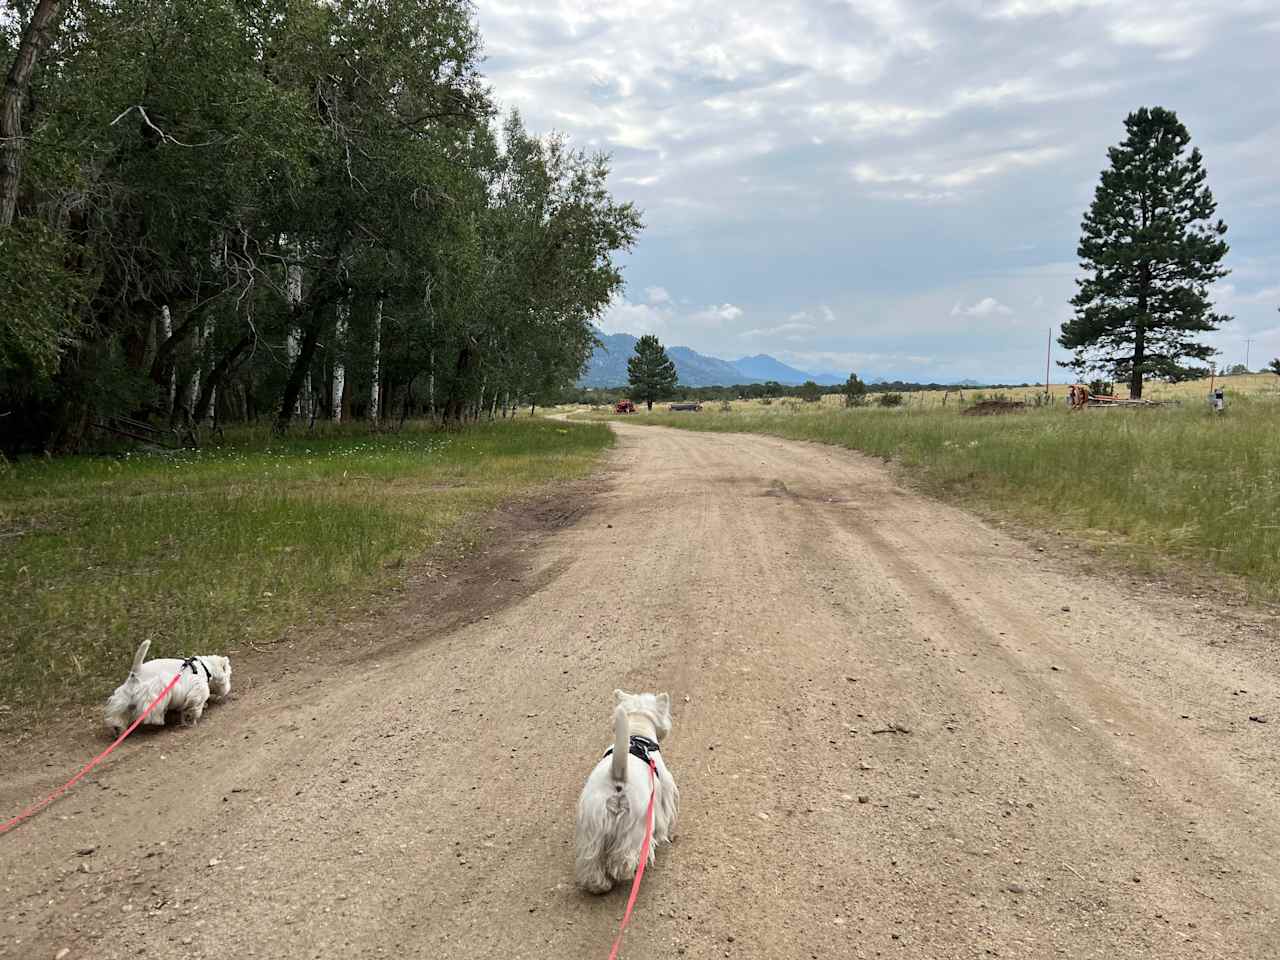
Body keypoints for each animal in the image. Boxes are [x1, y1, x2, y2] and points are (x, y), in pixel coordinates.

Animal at [103, 647, 231, 737]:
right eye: (229, 674)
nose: (227, 690)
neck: (205, 667)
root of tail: (135, 674)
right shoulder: (197, 689)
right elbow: (195, 707)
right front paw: (193, 719)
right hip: (154, 694)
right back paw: (157, 719)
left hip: (123, 698)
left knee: (117, 714)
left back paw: (118, 728)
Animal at [576, 691, 680, 896]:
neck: (637, 733)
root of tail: (617, 776)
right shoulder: (662, 791)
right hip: (636, 822)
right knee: (624, 858)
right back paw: (628, 871)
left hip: (593, 824)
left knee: (591, 862)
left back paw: (599, 885)